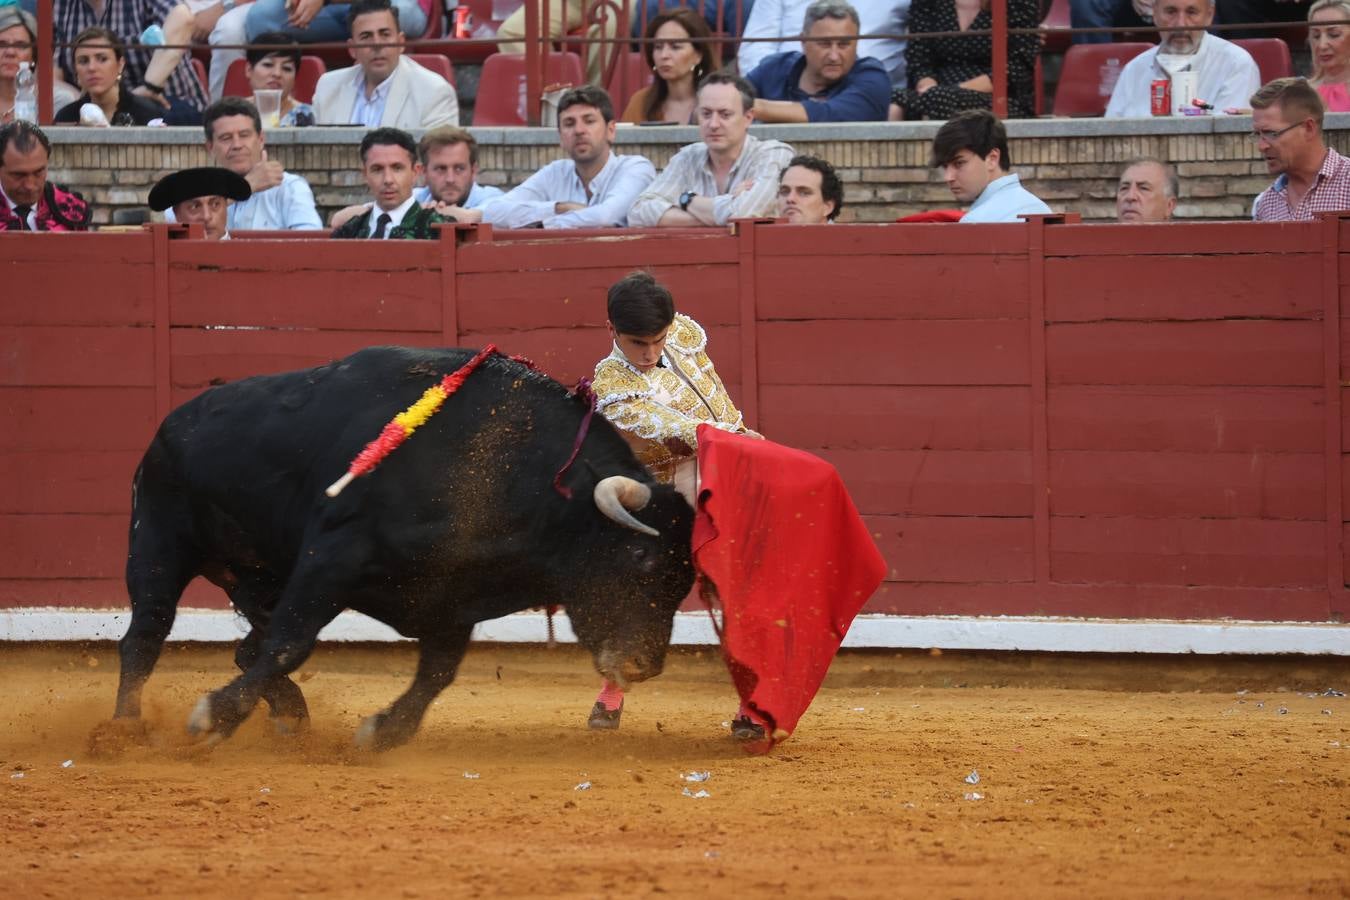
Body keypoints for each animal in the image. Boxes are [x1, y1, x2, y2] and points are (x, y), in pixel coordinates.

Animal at [114, 348, 696, 750]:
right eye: (640, 558)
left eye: (686, 581)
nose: (645, 665)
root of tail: (173, 420)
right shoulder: (330, 560)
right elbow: (290, 643)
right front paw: (214, 715)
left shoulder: (454, 591)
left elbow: (438, 673)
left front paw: (383, 730)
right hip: (159, 545)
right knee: (146, 636)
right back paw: (123, 730)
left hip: (256, 576)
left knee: (245, 647)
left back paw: (291, 715)